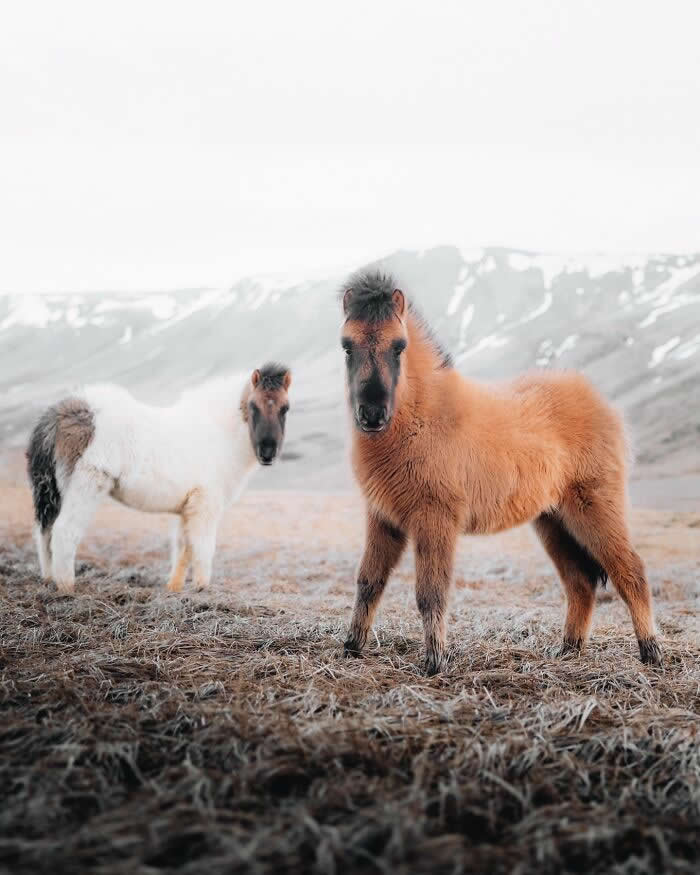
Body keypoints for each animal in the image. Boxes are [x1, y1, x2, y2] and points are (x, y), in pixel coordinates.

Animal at [27, 363, 291, 594]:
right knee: (64, 532)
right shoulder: (206, 505)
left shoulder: (187, 508)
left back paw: (49, 581)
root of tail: (60, 414)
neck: (218, 432)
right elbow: (204, 548)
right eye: (253, 406)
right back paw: (67, 588)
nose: (268, 453)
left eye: (285, 408)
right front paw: (202, 588)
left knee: (45, 534)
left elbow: (184, 549)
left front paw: (174, 589)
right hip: (85, 487)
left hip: (52, 492)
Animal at [339, 271, 661, 675]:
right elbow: (369, 582)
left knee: (631, 572)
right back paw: (568, 650)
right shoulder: (383, 518)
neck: (421, 417)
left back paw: (651, 654)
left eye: (399, 346)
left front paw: (434, 663)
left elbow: (430, 593)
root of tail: (602, 403)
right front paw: (351, 649)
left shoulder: (434, 519)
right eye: (346, 346)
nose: (371, 415)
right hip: (553, 521)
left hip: (596, 509)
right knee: (581, 583)